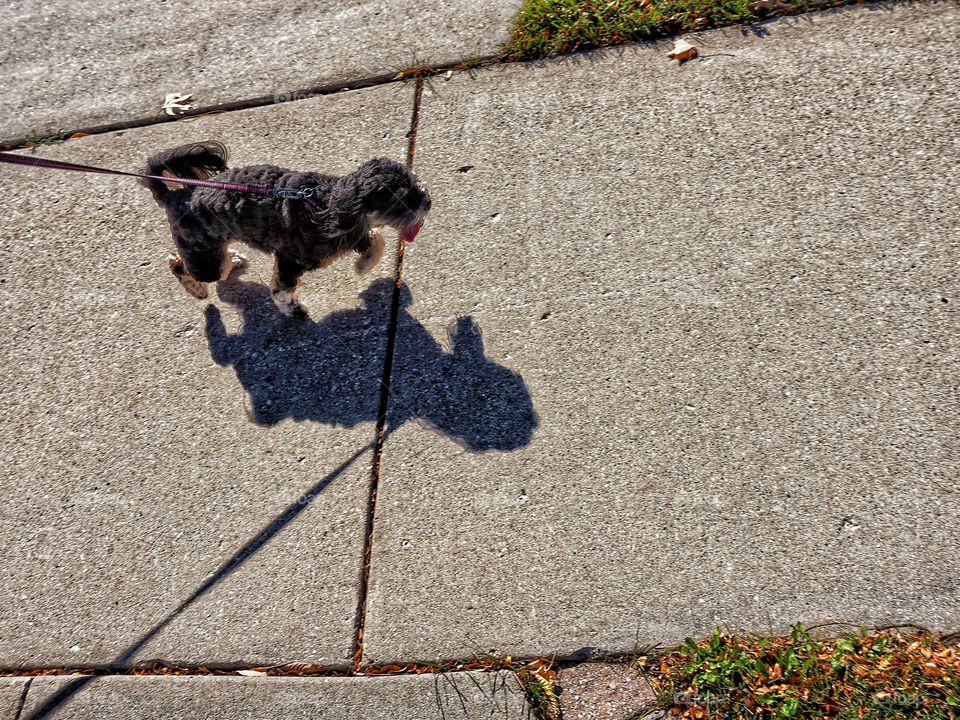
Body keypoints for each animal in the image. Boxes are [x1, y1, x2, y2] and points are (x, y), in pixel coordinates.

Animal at [141, 142, 430, 316]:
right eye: (402, 198)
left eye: (415, 184)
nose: (427, 202)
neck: (329, 204)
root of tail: (177, 195)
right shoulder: (291, 259)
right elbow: (281, 290)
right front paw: (291, 309)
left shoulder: (352, 233)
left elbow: (377, 239)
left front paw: (363, 265)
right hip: (206, 260)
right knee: (178, 263)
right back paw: (197, 289)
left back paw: (233, 259)